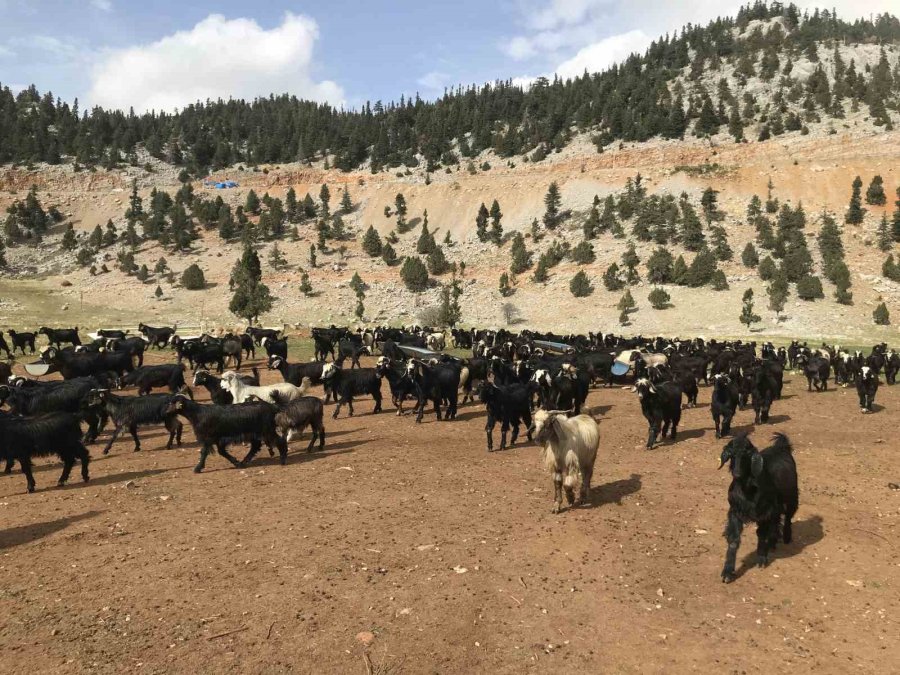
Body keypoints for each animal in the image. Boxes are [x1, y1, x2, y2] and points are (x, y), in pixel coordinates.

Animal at [720, 436, 800, 584]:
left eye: (747, 454)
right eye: (731, 454)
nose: (737, 474)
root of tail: (781, 446)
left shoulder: (764, 512)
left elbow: (761, 534)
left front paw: (761, 559)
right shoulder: (735, 512)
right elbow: (733, 539)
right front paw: (727, 572)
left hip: (792, 497)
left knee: (788, 517)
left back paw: (786, 537)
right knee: (776, 521)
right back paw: (773, 542)